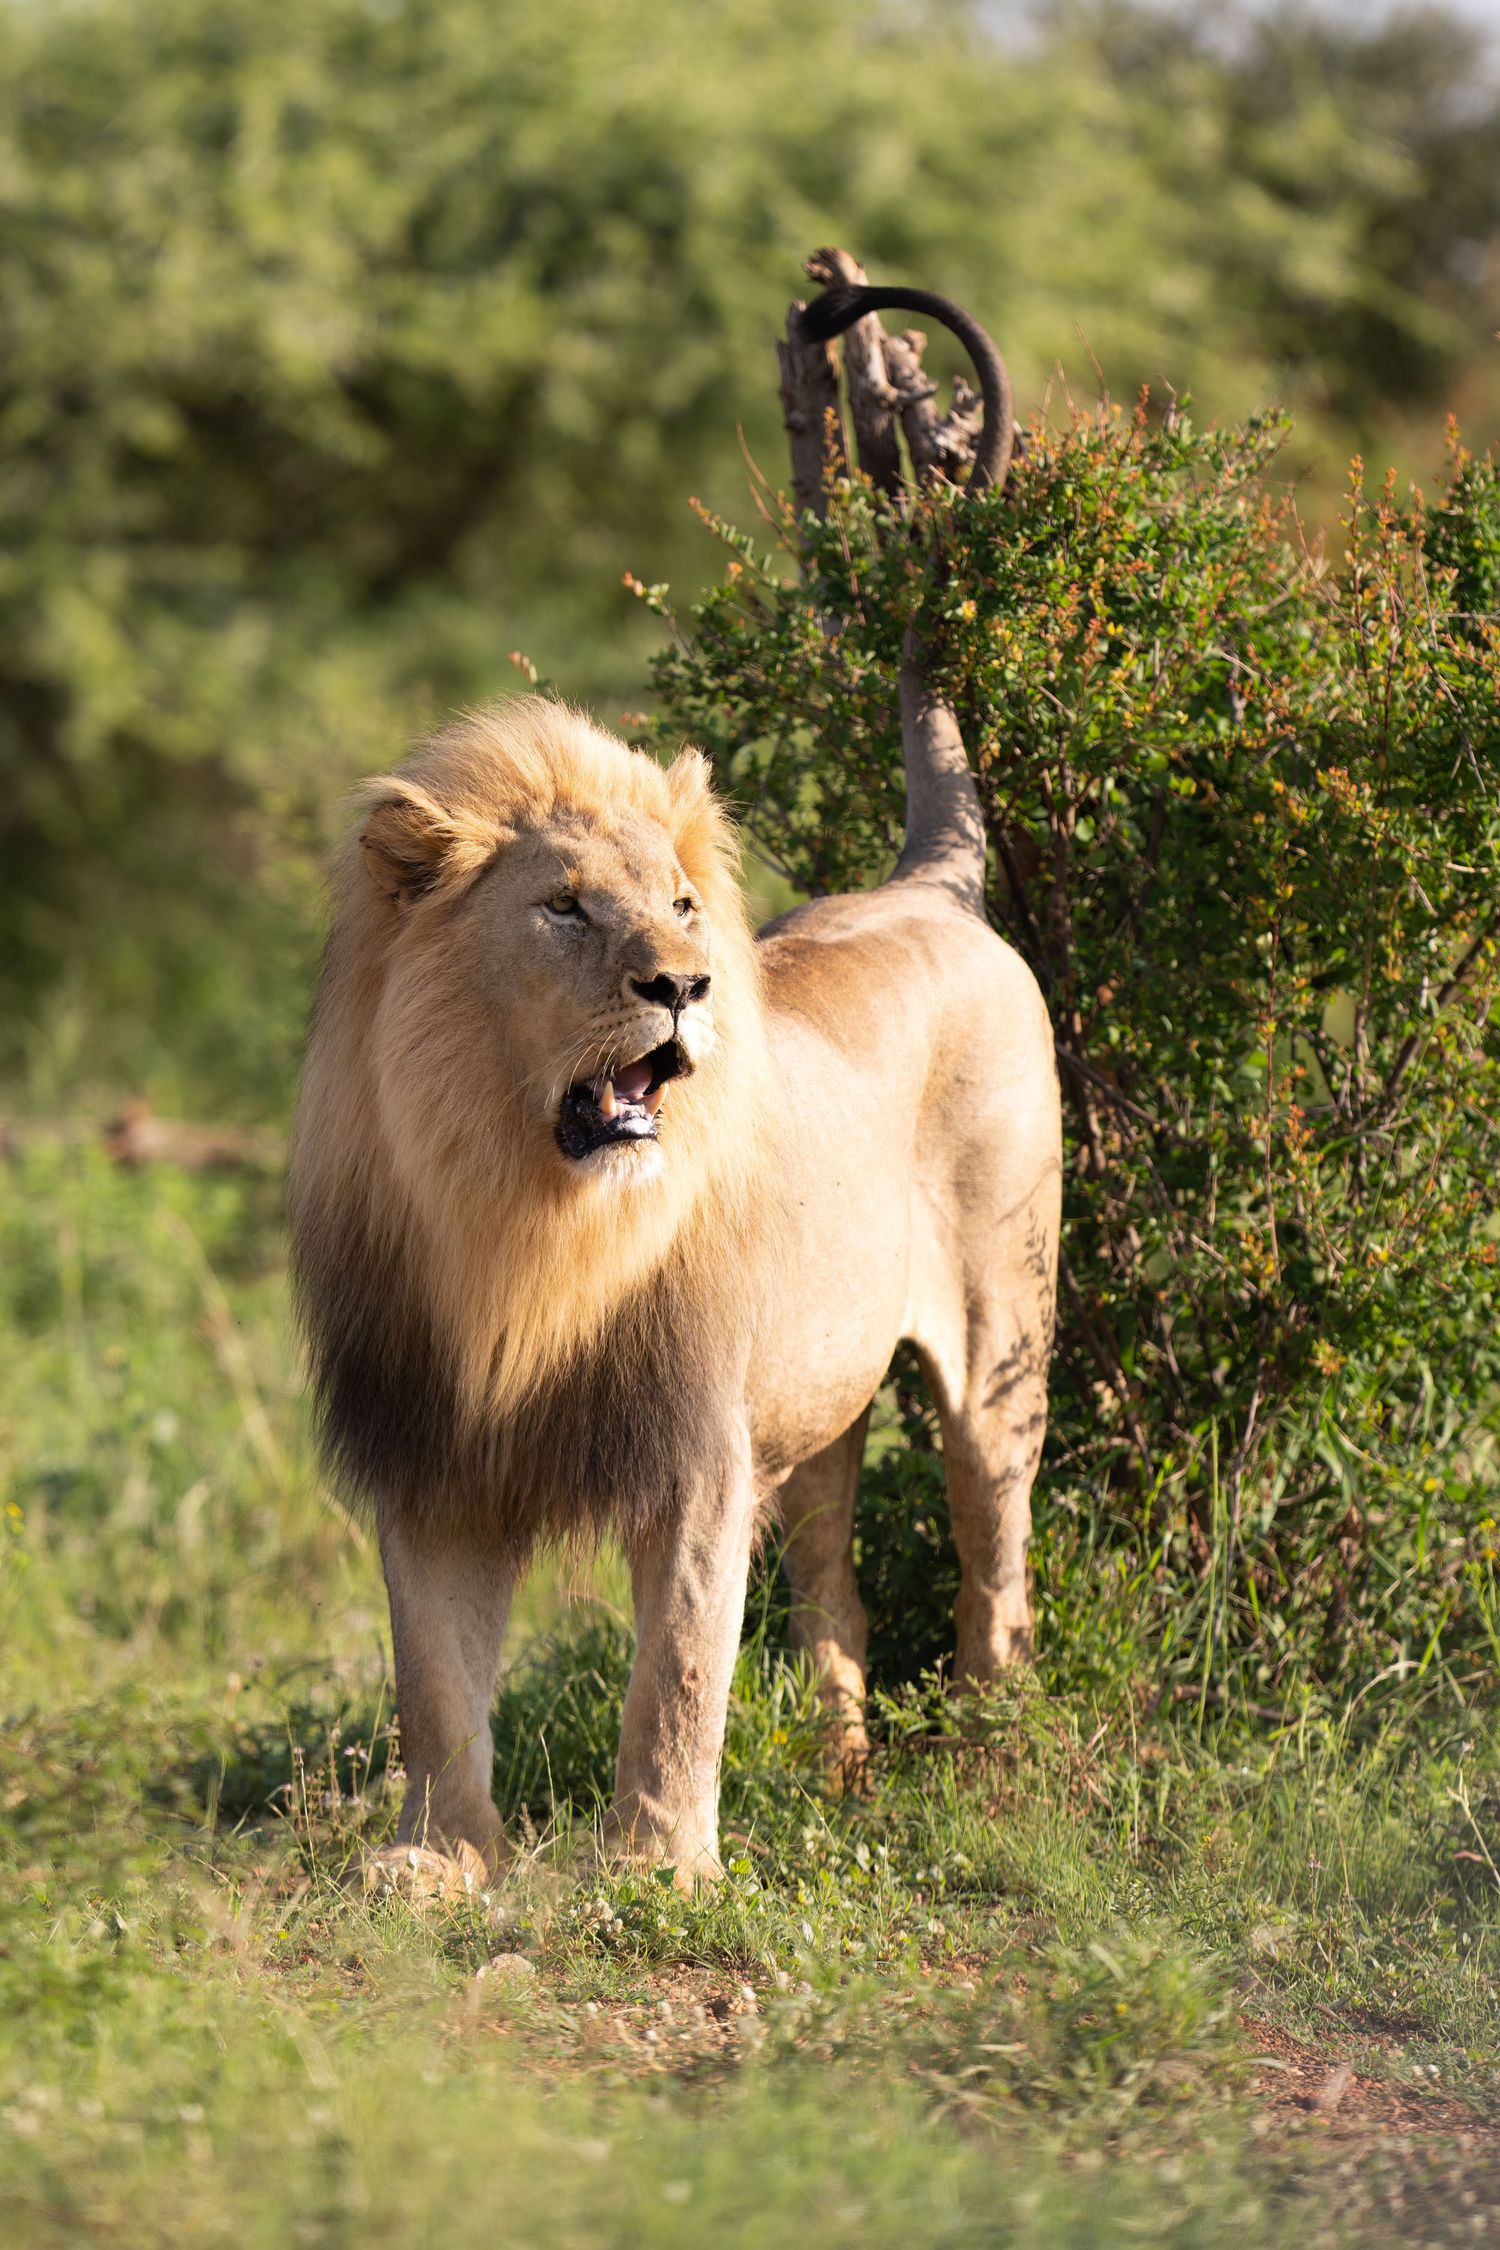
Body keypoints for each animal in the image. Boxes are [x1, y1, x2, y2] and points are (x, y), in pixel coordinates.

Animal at [290, 288, 1061, 1885]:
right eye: (567, 909)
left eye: (687, 906)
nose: (688, 986)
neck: (517, 1213)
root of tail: (932, 886)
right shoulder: (431, 1456)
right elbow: (432, 1679)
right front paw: (441, 1862)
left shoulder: (695, 1447)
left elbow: (680, 1673)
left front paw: (654, 1868)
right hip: (822, 1395)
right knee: (835, 1576)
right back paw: (839, 1772)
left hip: (1000, 1347)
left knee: (994, 1559)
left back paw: (989, 1761)